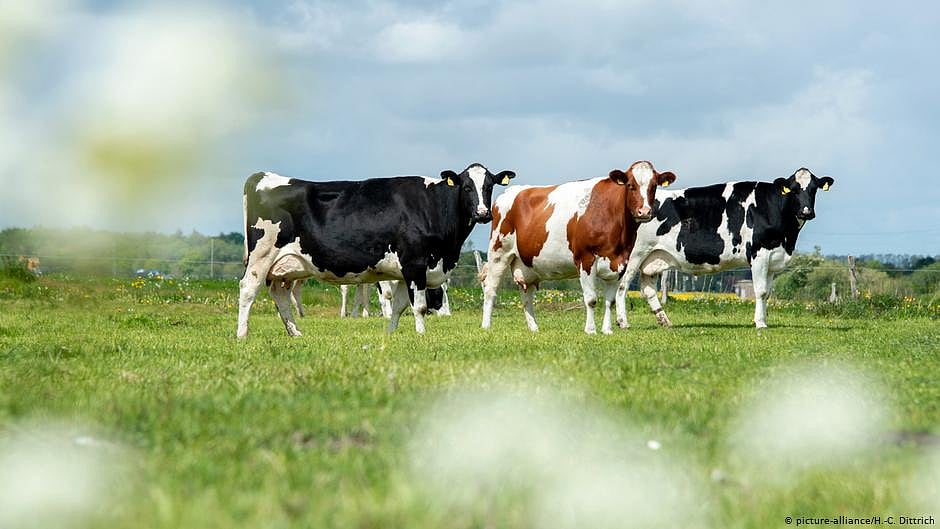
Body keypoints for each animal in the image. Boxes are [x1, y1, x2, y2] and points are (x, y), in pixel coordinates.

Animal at [238, 163, 515, 337]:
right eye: (466, 187)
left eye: (489, 186)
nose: (483, 213)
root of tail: (263, 176)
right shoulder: (415, 263)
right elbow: (418, 306)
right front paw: (421, 334)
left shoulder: (407, 270)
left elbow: (400, 305)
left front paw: (390, 334)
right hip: (261, 256)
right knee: (248, 290)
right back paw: (242, 335)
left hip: (284, 268)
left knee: (280, 295)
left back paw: (295, 332)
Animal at [481, 161, 676, 334]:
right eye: (630, 185)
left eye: (653, 186)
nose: (644, 212)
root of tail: (511, 191)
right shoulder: (585, 258)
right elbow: (591, 299)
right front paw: (590, 330)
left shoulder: (620, 262)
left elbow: (610, 301)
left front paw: (607, 330)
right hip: (499, 252)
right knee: (490, 289)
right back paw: (486, 325)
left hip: (525, 262)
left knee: (526, 294)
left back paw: (533, 328)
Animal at [620, 167, 834, 329]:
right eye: (794, 189)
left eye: (813, 189)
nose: (806, 211)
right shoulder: (758, 254)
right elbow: (760, 291)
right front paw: (760, 323)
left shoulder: (773, 258)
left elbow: (768, 292)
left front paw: (763, 320)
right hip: (633, 256)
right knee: (622, 287)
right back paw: (623, 322)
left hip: (652, 258)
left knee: (647, 290)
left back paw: (665, 321)